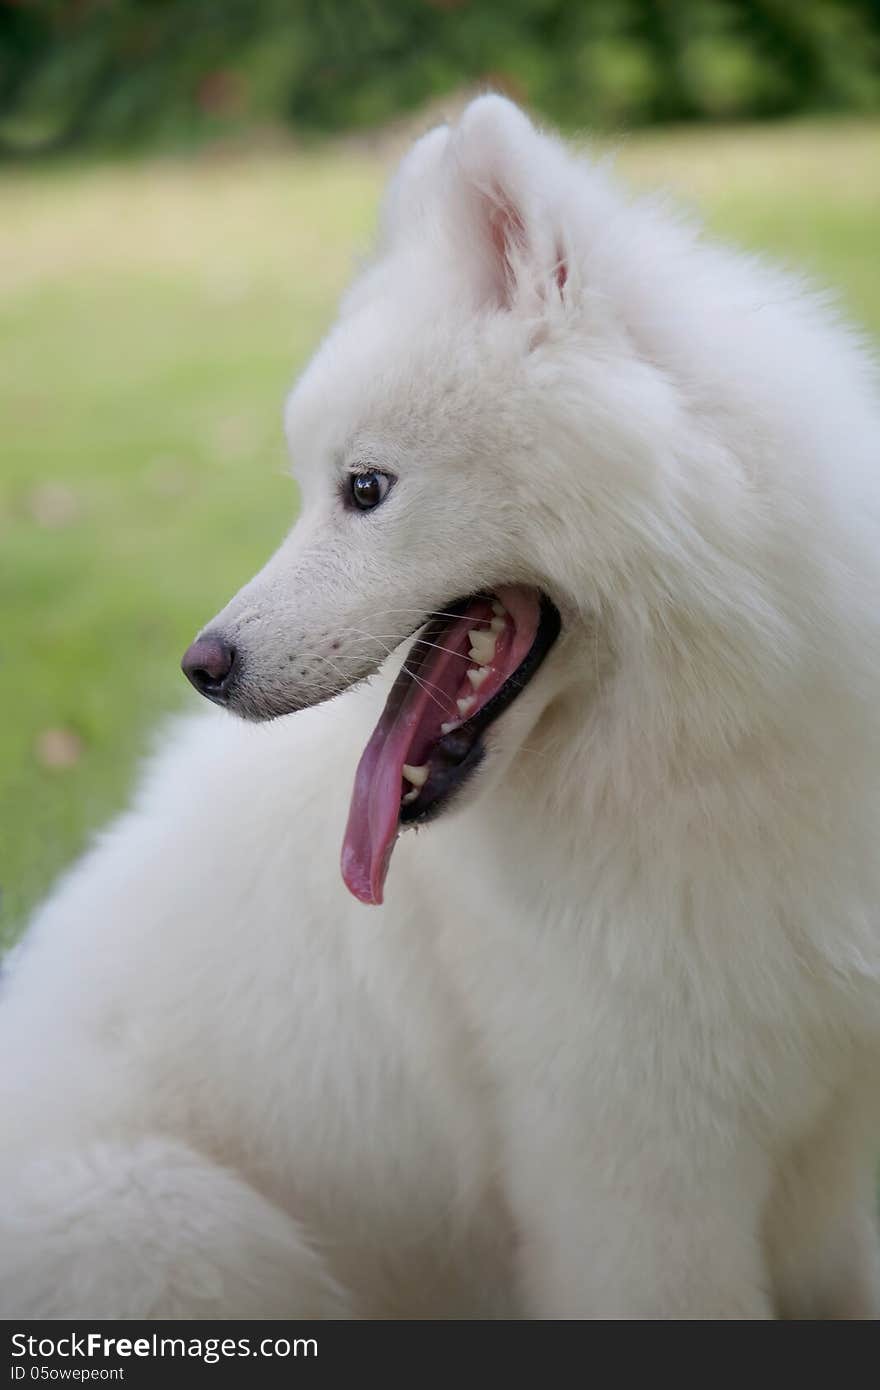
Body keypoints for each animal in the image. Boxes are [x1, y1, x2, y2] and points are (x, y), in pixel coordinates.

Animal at [1, 95, 878, 1312]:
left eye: (363, 489)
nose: (202, 664)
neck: (708, 756)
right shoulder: (639, 1178)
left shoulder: (837, 1159)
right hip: (185, 1229)